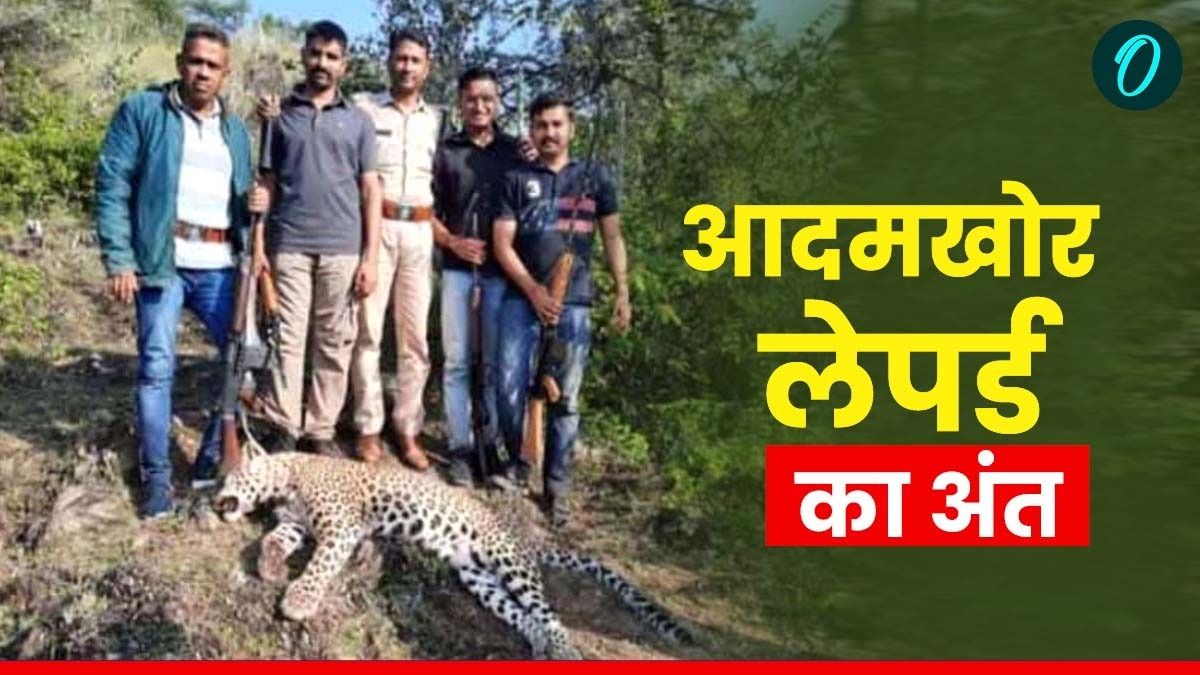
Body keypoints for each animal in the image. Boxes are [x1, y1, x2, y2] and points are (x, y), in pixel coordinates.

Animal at [213, 451, 691, 659]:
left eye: (229, 478)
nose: (215, 499)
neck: (288, 477)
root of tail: (518, 532)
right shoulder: (296, 524)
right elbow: (272, 541)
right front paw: (268, 567)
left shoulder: (340, 527)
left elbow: (320, 565)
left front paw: (298, 601)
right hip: (479, 578)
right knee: (523, 615)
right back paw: (538, 645)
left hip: (508, 561)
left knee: (549, 614)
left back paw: (564, 650)